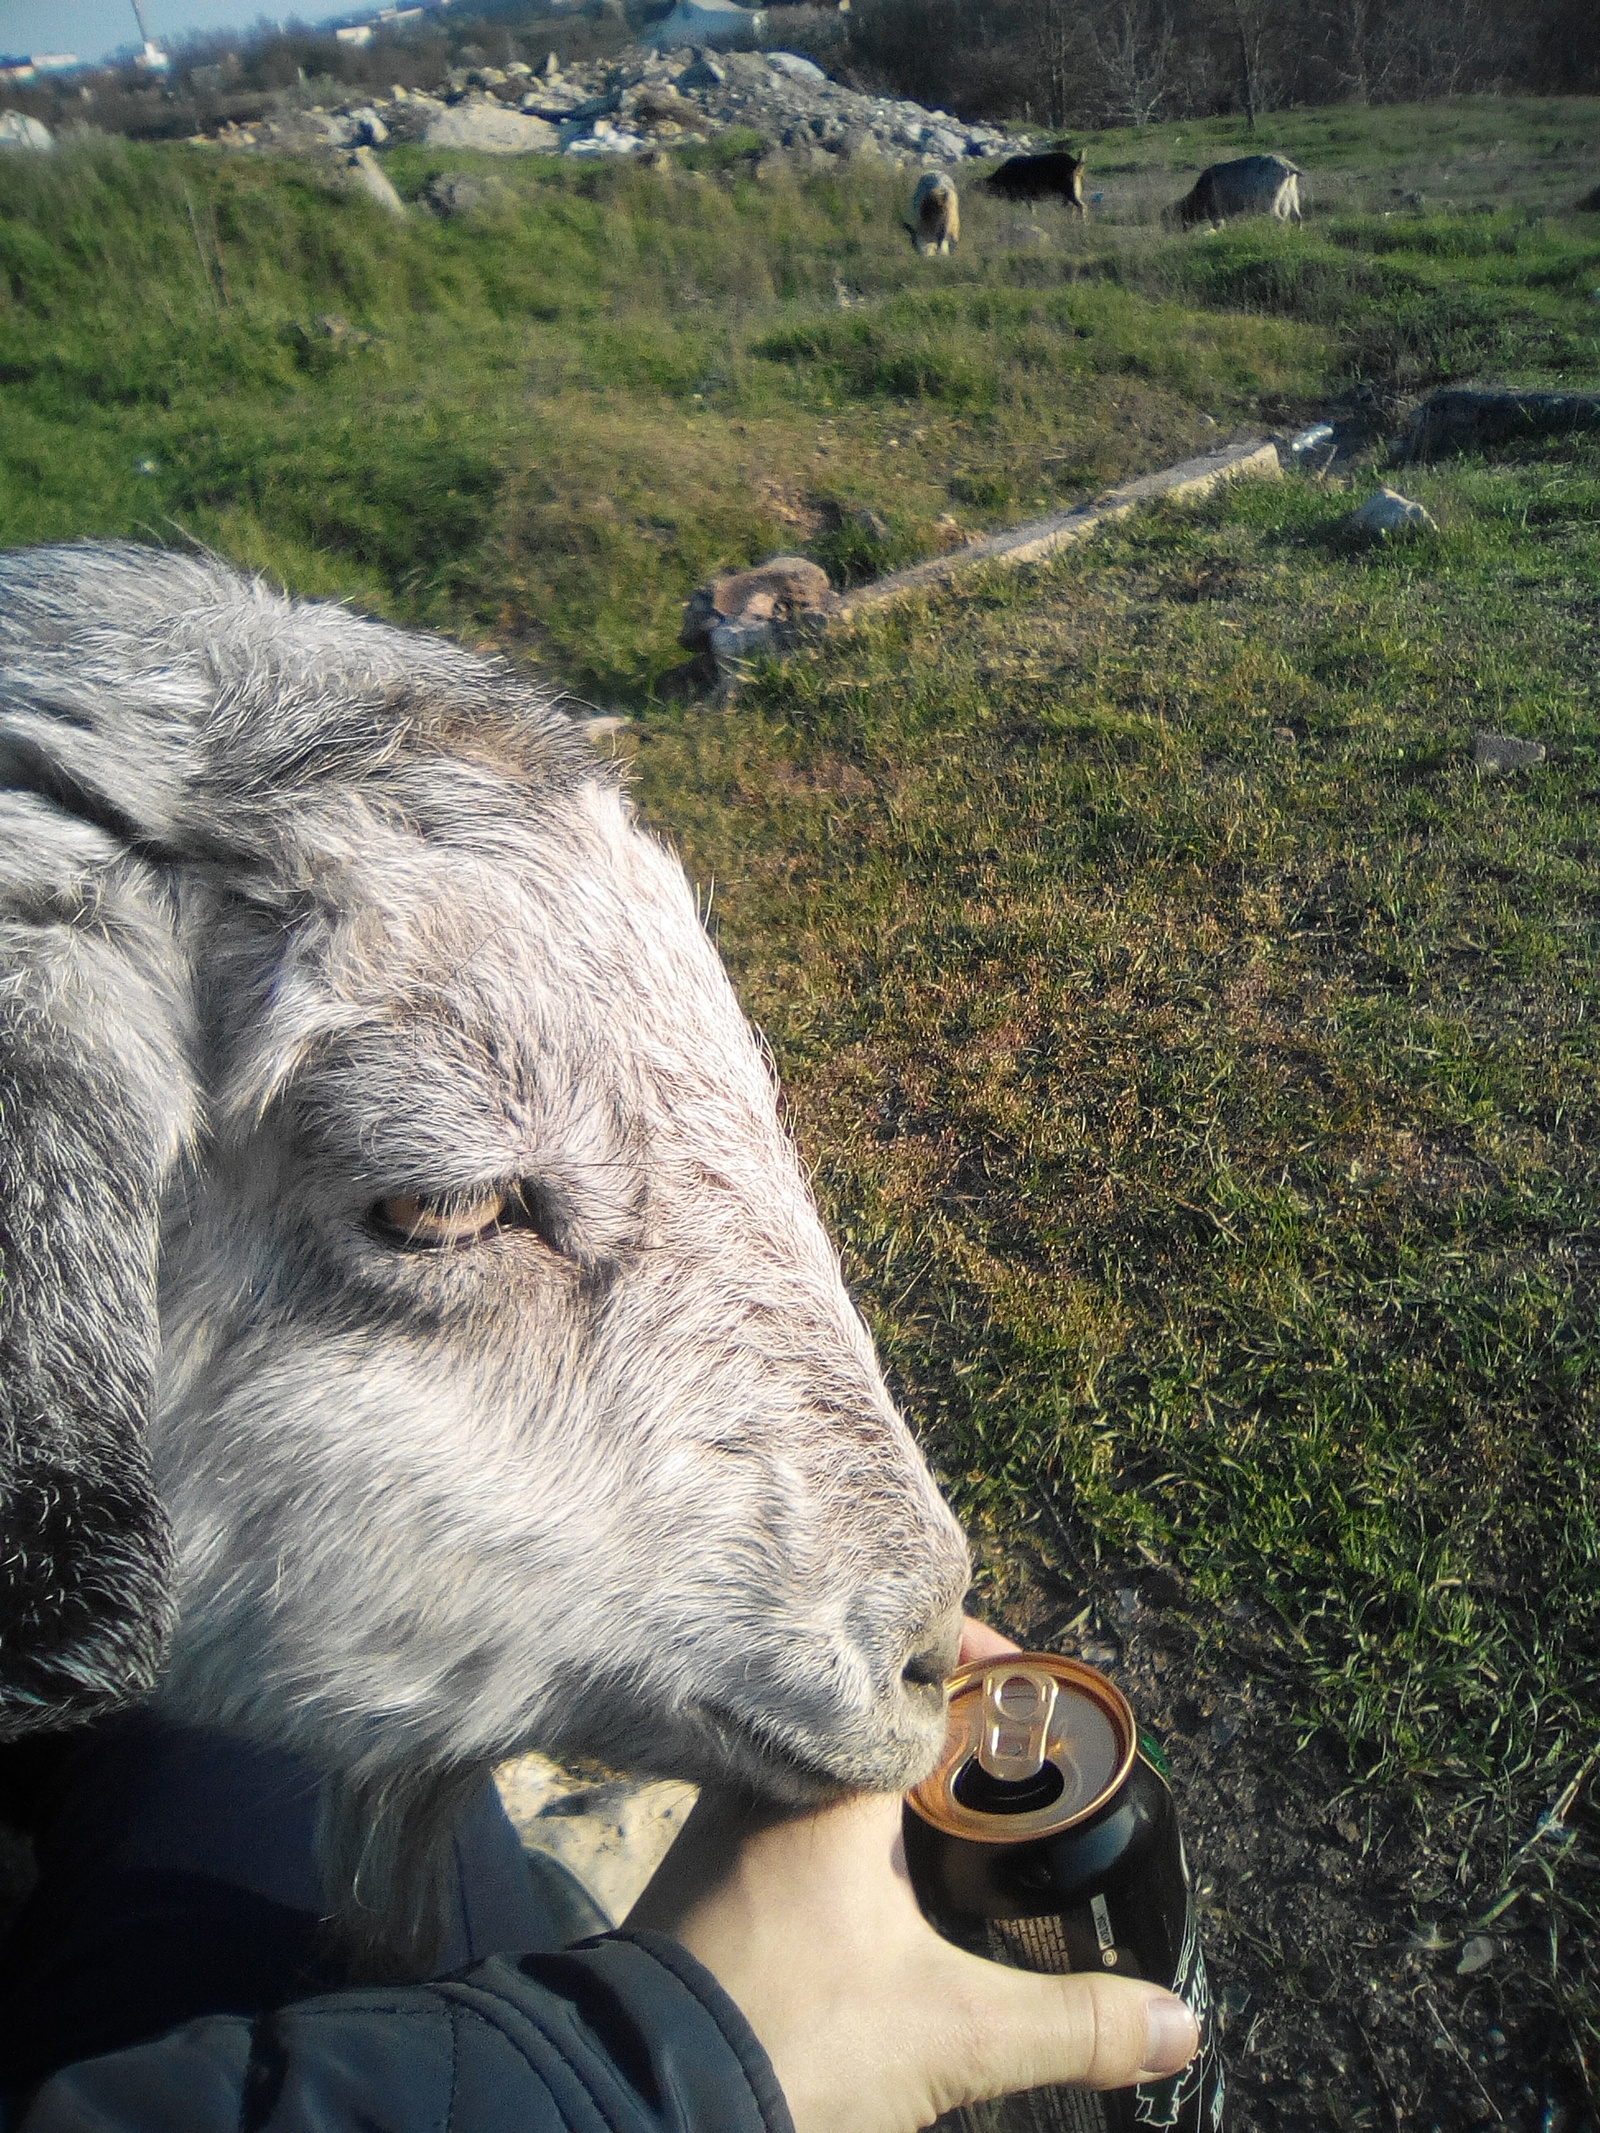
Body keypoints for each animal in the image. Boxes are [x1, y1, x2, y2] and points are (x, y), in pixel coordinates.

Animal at [1177, 154, 1305, 231]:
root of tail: (1288, 167)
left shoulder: (1217, 213)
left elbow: (1219, 227)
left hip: (1269, 201)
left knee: (1279, 219)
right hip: (1291, 193)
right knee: (1297, 217)